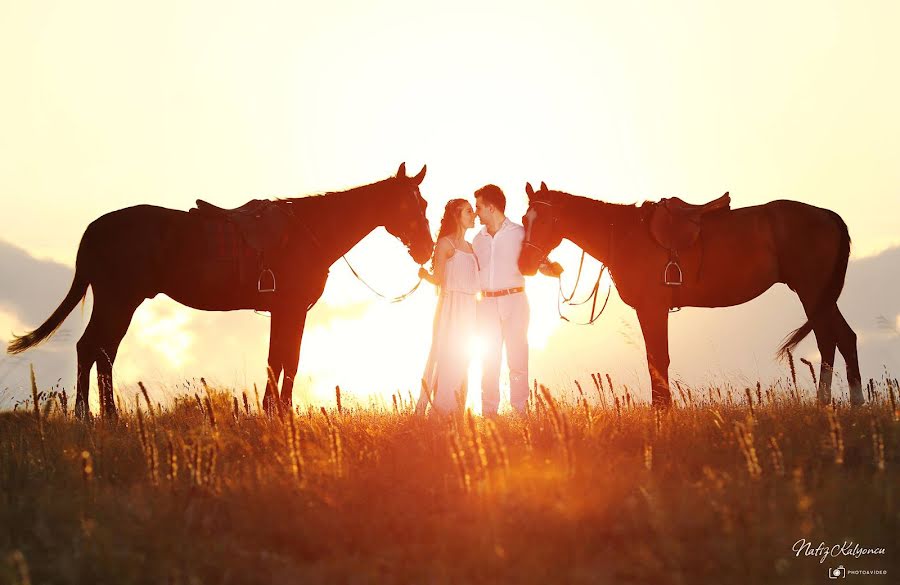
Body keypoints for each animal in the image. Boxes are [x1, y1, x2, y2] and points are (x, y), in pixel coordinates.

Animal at [7, 164, 434, 418]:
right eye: (411, 205)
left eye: (425, 204)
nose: (426, 249)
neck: (308, 234)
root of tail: (96, 228)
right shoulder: (292, 309)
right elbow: (287, 361)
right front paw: (280, 414)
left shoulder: (285, 312)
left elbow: (278, 360)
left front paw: (273, 412)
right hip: (119, 300)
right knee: (94, 349)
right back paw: (90, 415)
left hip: (119, 301)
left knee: (100, 351)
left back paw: (106, 416)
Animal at [516, 181, 860, 406]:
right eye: (523, 219)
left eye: (546, 220)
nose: (525, 264)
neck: (625, 235)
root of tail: (829, 216)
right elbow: (656, 360)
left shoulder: (651, 308)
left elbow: (657, 360)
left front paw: (662, 412)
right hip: (821, 295)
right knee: (842, 338)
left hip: (811, 292)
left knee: (831, 340)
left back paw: (833, 403)